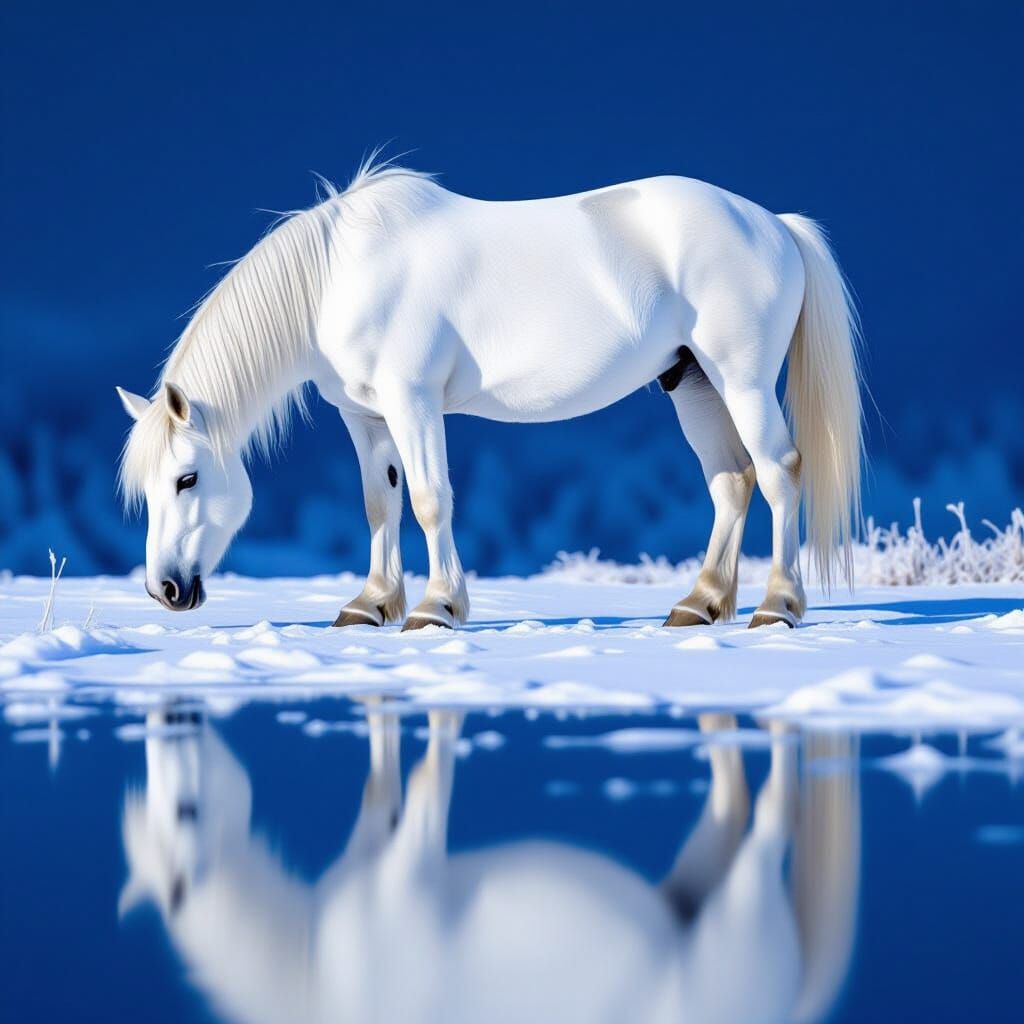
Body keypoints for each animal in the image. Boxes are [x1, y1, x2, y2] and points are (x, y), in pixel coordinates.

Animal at [116, 157, 862, 630]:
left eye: (187, 478)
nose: (165, 589)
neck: (339, 277)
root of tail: (776, 225)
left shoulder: (412, 400)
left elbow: (428, 500)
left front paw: (436, 608)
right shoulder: (363, 415)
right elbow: (380, 503)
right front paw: (369, 604)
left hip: (741, 378)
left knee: (779, 471)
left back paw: (777, 606)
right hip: (692, 380)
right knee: (732, 481)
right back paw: (699, 603)